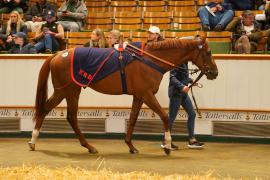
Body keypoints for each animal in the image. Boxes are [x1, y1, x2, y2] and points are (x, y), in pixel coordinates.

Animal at [28, 38, 218, 155]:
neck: (150, 60)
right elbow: (164, 116)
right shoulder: (147, 94)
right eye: (208, 52)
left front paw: (131, 146)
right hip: (68, 91)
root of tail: (58, 54)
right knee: (63, 114)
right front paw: (167, 146)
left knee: (58, 113)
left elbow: (133, 118)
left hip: (66, 91)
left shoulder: (139, 96)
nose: (215, 72)